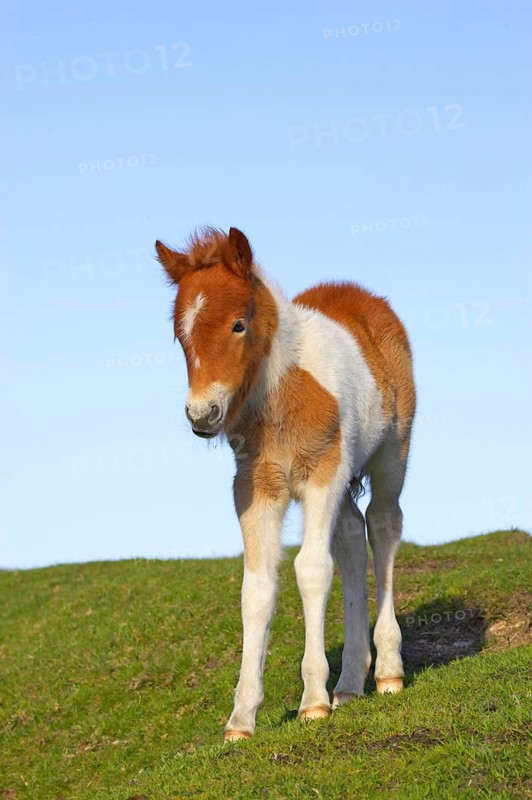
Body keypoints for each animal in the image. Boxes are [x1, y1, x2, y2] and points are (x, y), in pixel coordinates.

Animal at [155, 226, 416, 741]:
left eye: (238, 325)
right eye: (180, 333)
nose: (202, 415)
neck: (278, 396)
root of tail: (363, 296)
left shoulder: (321, 476)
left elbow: (311, 570)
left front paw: (312, 701)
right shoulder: (256, 490)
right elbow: (257, 590)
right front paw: (241, 720)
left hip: (390, 455)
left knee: (383, 526)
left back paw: (387, 672)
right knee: (351, 540)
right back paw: (350, 684)